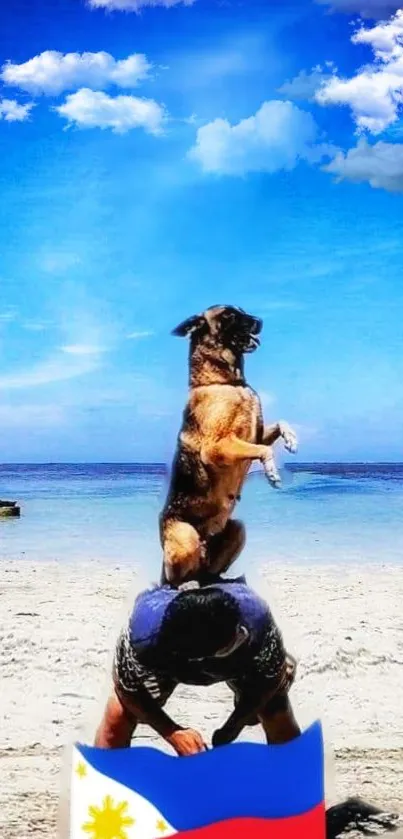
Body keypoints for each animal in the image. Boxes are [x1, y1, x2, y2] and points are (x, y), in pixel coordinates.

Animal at [159, 306, 298, 588]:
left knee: (209, 573)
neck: (229, 383)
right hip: (186, 537)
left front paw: (291, 438)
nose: (260, 321)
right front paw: (272, 473)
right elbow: (266, 450)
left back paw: (223, 578)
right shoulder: (217, 447)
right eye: (229, 315)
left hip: (238, 528)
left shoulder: (254, 437)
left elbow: (281, 424)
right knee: (174, 579)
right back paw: (187, 583)